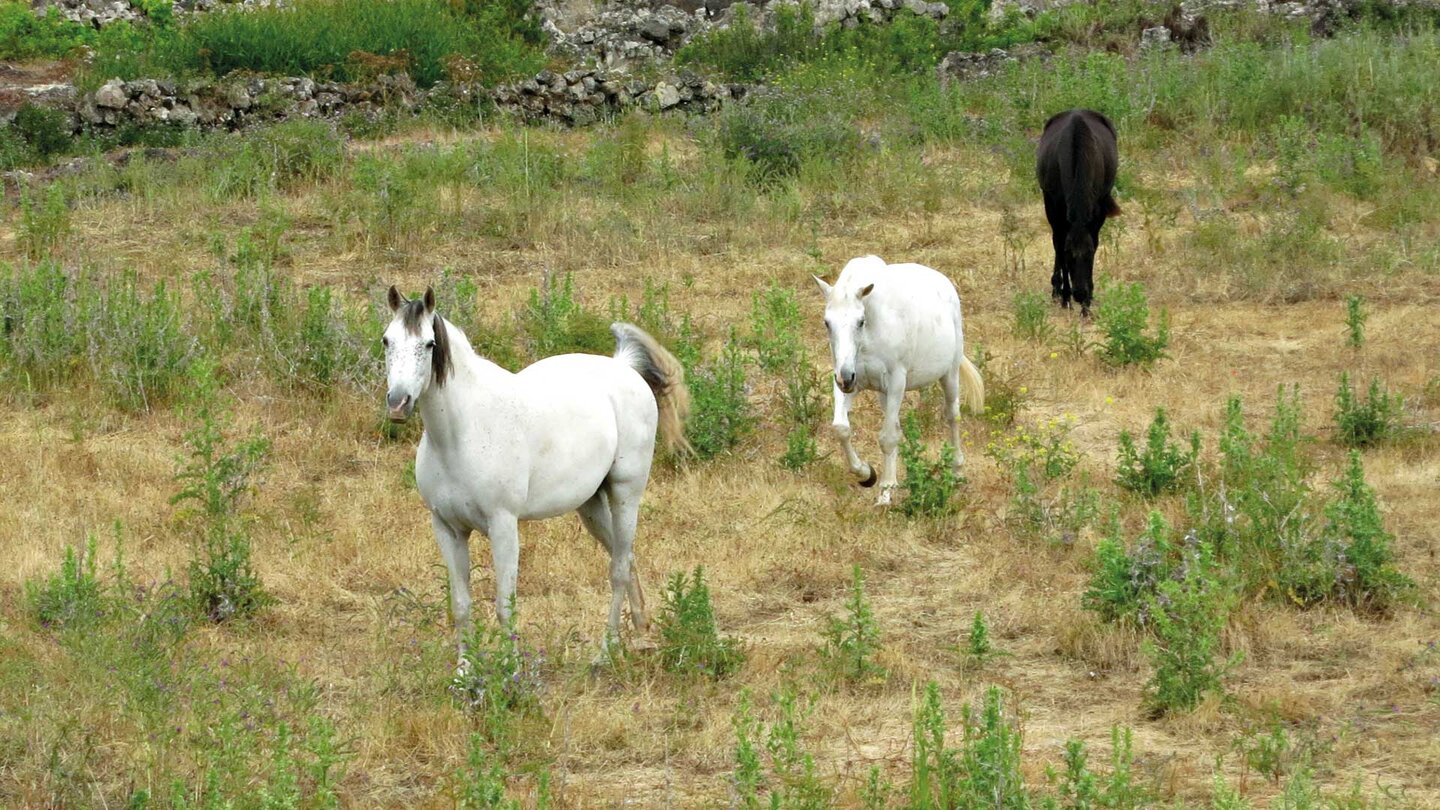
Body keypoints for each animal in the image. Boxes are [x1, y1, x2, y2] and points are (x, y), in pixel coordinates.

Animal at [383, 286, 691, 660]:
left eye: (429, 344)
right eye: (386, 340)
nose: (398, 403)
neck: (463, 432)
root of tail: (623, 365)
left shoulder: (503, 526)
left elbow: (505, 606)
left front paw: (510, 669)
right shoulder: (447, 528)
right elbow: (461, 606)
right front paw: (465, 670)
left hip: (625, 495)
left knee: (618, 569)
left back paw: (605, 651)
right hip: (591, 505)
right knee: (625, 555)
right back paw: (641, 627)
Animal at [817, 253, 984, 504]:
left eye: (860, 321)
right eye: (827, 323)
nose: (845, 378)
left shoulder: (896, 382)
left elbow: (887, 438)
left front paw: (884, 495)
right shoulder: (849, 382)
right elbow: (842, 428)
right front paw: (867, 475)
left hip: (949, 374)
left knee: (952, 416)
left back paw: (956, 472)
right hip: (882, 393)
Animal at [1036, 109, 1123, 315]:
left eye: (1090, 254)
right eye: (1070, 255)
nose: (1080, 294)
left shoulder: (1097, 211)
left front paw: (1087, 305)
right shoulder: (1054, 208)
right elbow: (1058, 246)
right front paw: (1065, 296)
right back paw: (1057, 289)